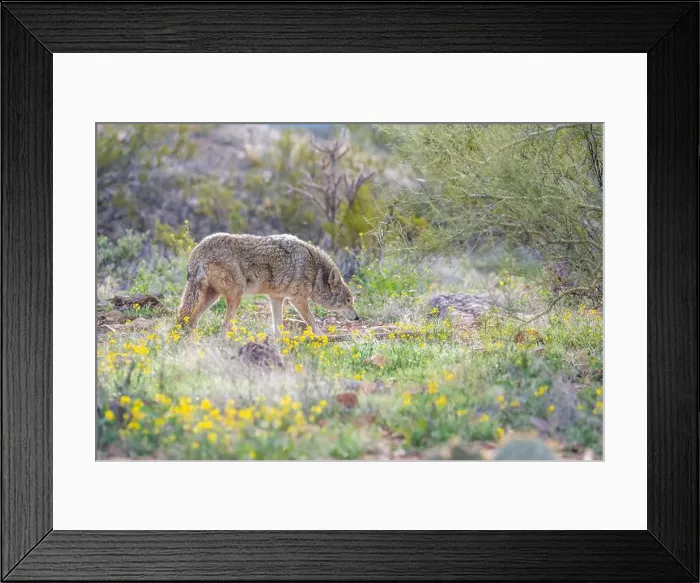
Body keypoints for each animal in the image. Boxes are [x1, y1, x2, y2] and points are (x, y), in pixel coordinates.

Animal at [176, 233, 359, 335]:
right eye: (348, 301)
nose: (357, 317)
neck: (315, 273)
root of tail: (196, 251)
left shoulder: (276, 298)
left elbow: (278, 326)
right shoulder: (297, 300)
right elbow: (312, 322)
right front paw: (321, 336)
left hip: (212, 297)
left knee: (189, 319)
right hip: (235, 296)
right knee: (224, 326)